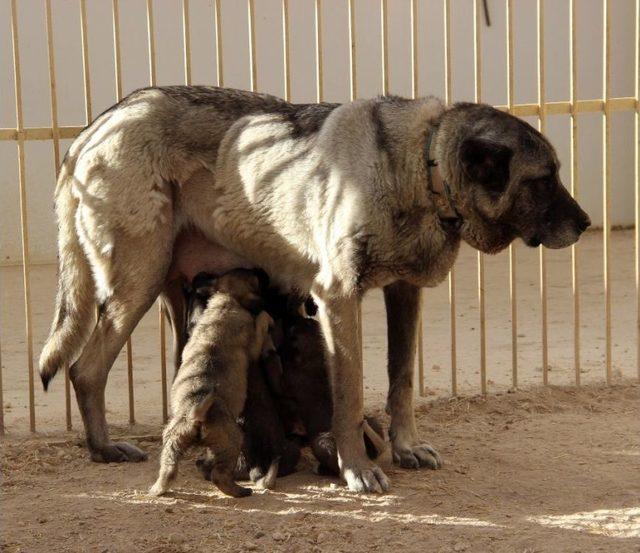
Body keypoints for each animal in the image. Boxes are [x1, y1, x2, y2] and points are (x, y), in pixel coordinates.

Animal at [150, 270, 270, 498]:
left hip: (173, 441)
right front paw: (267, 316)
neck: (225, 301)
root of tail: (196, 416)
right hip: (232, 440)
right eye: (255, 279)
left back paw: (157, 489)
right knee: (220, 475)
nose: (261, 272)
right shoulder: (252, 342)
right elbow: (260, 322)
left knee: (168, 469)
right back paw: (240, 491)